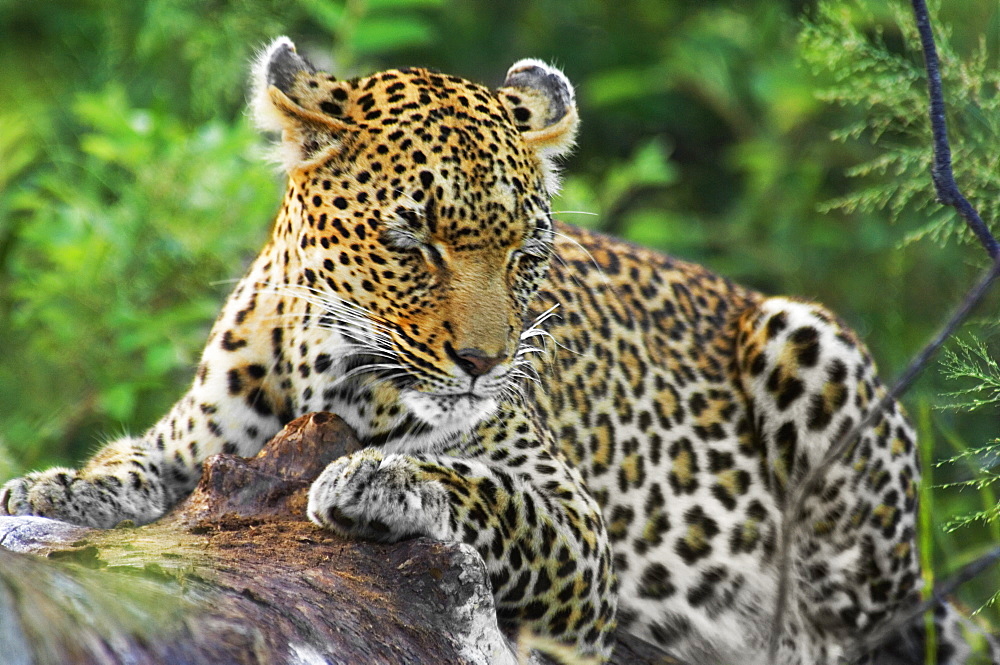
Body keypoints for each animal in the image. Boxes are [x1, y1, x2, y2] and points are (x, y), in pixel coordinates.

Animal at [0, 37, 992, 664]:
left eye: (526, 253)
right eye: (412, 242)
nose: (484, 363)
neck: (329, 374)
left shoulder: (577, 527)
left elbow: (487, 492)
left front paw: (378, 478)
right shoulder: (199, 441)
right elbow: (140, 462)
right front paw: (58, 485)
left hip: (811, 347)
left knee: (847, 629)